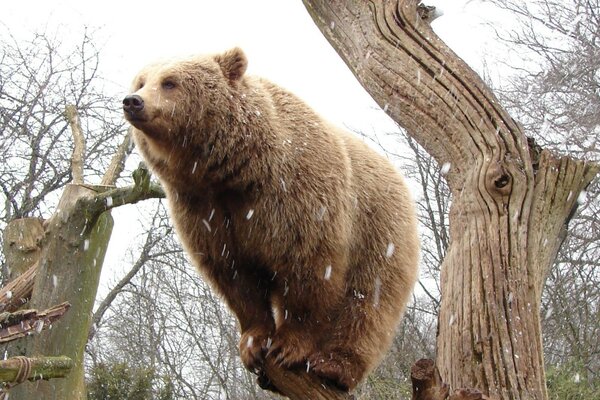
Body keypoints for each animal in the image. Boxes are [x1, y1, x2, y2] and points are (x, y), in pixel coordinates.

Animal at [124, 47, 420, 390]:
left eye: (170, 82)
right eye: (142, 80)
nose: (132, 101)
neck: (234, 171)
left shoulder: (296, 196)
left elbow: (309, 267)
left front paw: (288, 346)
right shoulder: (204, 211)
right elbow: (235, 276)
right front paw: (253, 343)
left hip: (379, 229)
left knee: (368, 299)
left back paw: (335, 365)